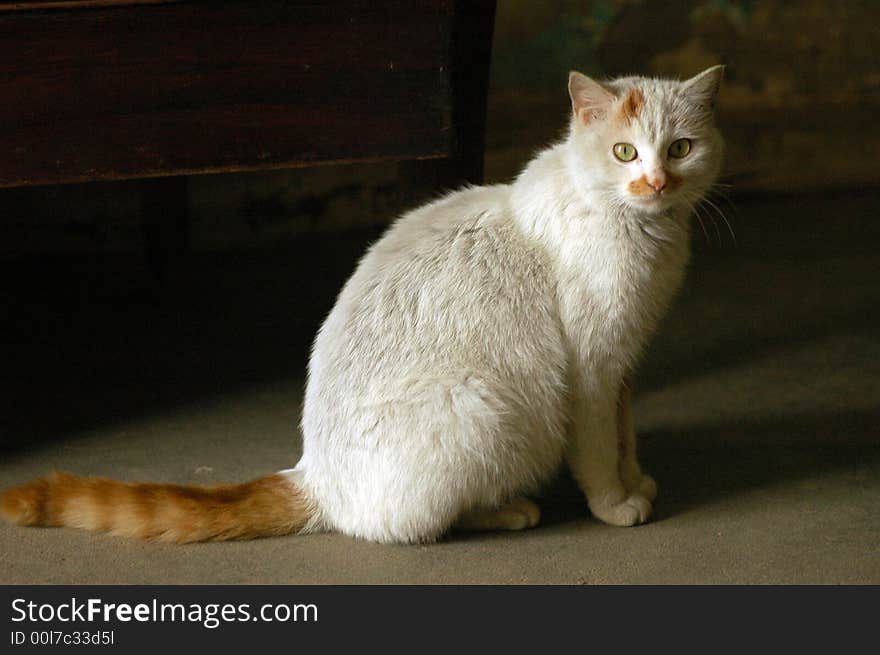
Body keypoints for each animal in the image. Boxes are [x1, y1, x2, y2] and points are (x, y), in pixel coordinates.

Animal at [1, 69, 720, 544]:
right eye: (624, 152)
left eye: (680, 149)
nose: (656, 182)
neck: (647, 234)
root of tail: (313, 476)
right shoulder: (593, 372)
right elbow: (598, 451)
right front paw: (615, 504)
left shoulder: (624, 365)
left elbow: (625, 438)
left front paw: (639, 482)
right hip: (486, 401)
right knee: (419, 524)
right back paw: (510, 509)